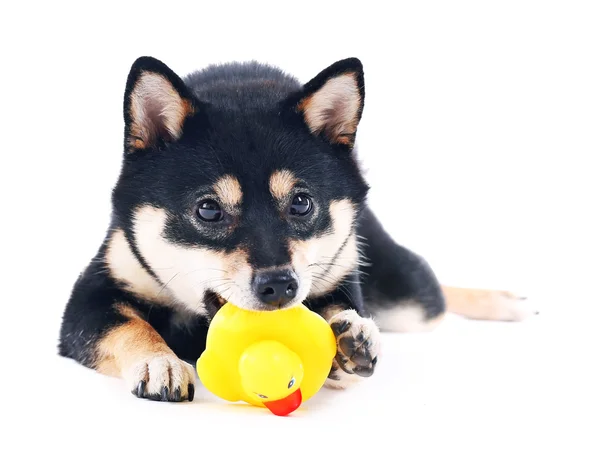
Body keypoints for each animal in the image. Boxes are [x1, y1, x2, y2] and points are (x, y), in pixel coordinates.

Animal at [58, 56, 532, 400]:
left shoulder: (341, 274)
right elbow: (128, 325)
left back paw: (506, 302)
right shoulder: (91, 295)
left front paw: (353, 338)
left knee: (435, 298)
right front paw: (160, 362)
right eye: (208, 210)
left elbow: (339, 309)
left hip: (406, 296)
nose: (279, 285)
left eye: (302, 203)